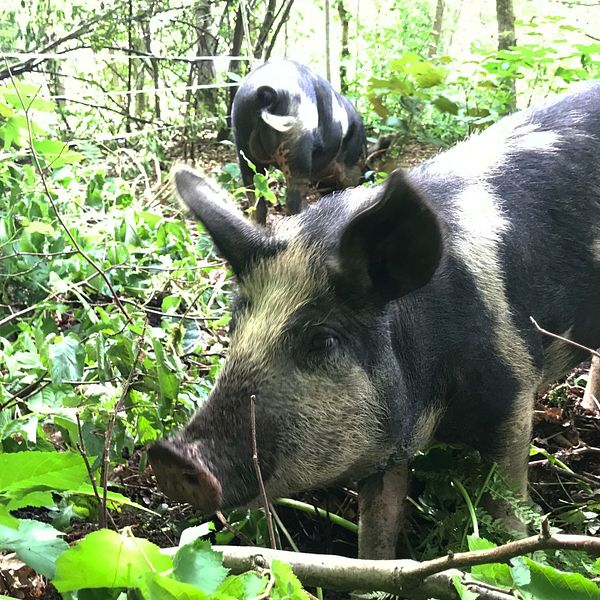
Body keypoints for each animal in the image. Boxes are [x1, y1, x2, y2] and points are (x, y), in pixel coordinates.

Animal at [149, 82, 600, 560]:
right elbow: (377, 530)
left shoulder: (514, 389)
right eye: (234, 324)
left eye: (324, 339)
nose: (171, 455)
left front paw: (516, 547)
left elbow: (506, 501)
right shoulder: (386, 443)